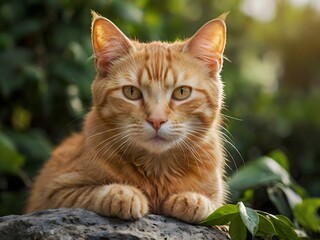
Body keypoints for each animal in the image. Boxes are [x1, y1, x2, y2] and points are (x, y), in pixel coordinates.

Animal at [26, 12, 228, 224]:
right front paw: (122, 194)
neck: (157, 170)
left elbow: (215, 206)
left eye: (182, 92)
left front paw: (195, 200)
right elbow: (90, 193)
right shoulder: (54, 193)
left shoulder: (219, 200)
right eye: (131, 92)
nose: (156, 120)